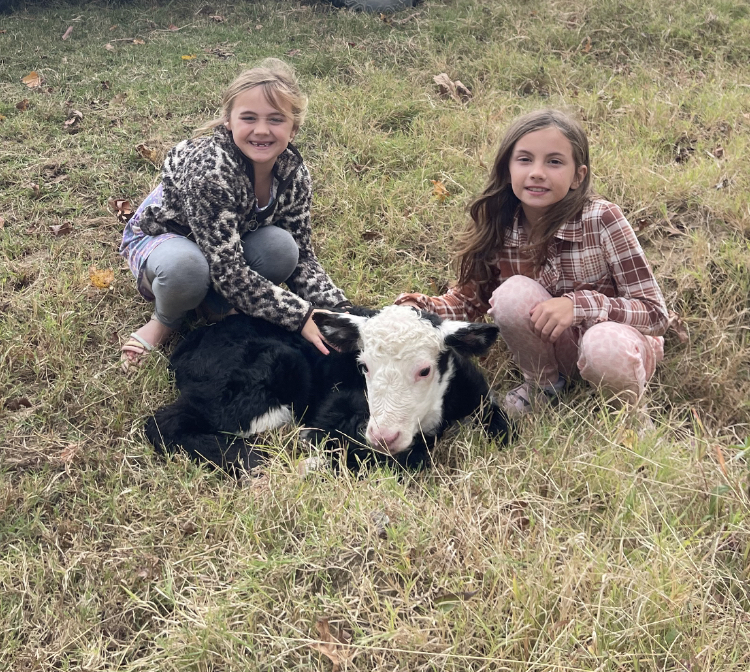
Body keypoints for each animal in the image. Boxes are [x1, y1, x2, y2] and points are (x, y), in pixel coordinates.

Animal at [144, 305, 512, 472]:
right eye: (364, 366)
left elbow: (506, 429)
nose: (383, 435)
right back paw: (255, 462)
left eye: (424, 369)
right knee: (164, 423)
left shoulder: (482, 398)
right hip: (257, 382)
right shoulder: (333, 411)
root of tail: (193, 339)